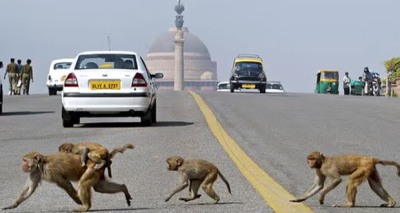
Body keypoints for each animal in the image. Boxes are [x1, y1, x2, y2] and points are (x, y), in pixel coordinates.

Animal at [2, 143, 134, 211]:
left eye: (24, 160)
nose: (22, 165)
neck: (42, 164)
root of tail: (106, 157)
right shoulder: (35, 172)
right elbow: (29, 189)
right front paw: (13, 205)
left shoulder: (52, 172)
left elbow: (66, 185)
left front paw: (78, 200)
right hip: (98, 171)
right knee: (100, 187)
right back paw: (124, 188)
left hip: (92, 168)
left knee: (84, 183)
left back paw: (86, 207)